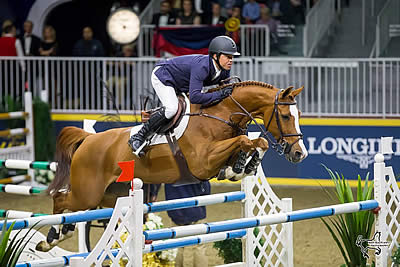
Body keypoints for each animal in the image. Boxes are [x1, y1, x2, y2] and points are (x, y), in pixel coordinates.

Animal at [36, 81, 308, 251]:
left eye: (298, 116)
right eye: (286, 116)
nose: (299, 153)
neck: (221, 114)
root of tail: (88, 139)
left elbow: (257, 141)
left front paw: (242, 166)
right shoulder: (202, 162)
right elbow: (245, 140)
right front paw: (240, 166)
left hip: (109, 195)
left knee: (77, 207)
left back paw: (63, 232)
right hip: (88, 191)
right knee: (61, 199)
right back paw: (51, 238)